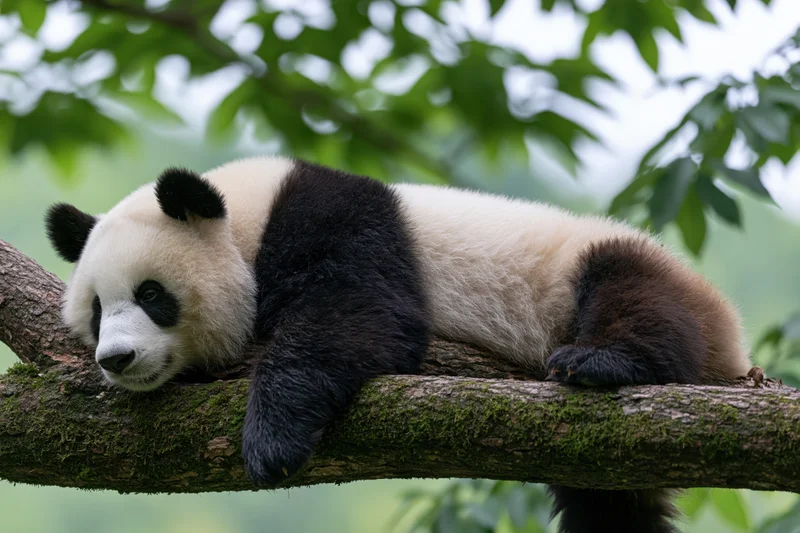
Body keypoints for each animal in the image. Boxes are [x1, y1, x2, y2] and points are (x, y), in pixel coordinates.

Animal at [45, 156, 752, 533]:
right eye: (98, 310)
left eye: (152, 294)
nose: (117, 359)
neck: (249, 215)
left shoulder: (336, 219)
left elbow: (359, 311)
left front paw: (272, 439)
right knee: (604, 499)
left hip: (605, 274)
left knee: (638, 297)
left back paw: (600, 360)